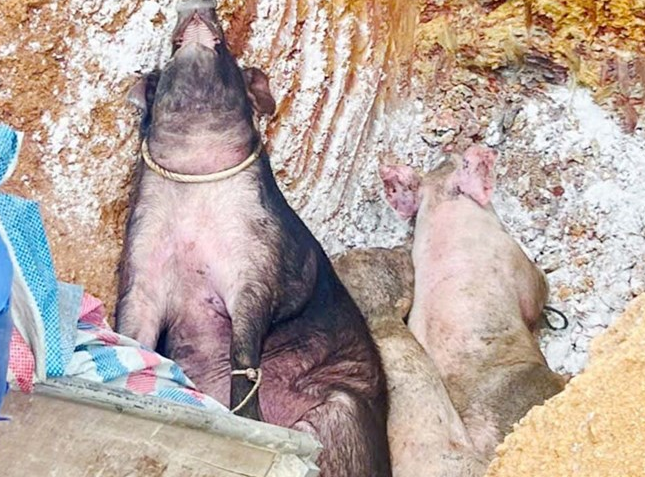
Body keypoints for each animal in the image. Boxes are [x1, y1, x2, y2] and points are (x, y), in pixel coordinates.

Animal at [115, 2, 392, 476]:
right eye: (166, 60)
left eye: (229, 48)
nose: (198, 9)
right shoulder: (142, 259)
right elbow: (134, 330)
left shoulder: (264, 260)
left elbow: (245, 351)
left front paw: (245, 419)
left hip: (342, 413)